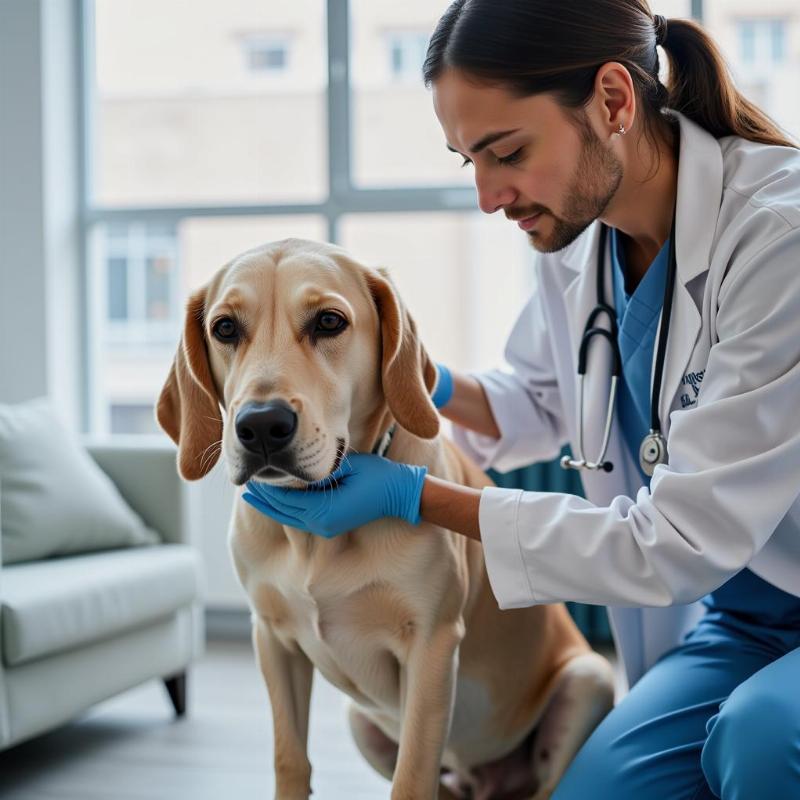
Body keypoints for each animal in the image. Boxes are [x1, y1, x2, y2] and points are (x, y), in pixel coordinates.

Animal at [159, 239, 616, 800]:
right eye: (225, 328)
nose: (262, 425)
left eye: (329, 321)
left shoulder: (431, 645)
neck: (316, 535)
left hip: (589, 681)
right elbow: (290, 759)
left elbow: (412, 776)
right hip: (361, 721)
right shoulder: (272, 640)